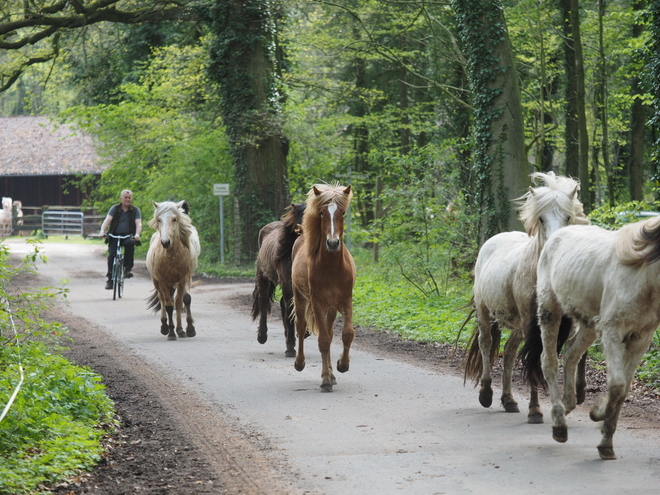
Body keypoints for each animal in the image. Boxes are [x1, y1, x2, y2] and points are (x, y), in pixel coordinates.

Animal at [147, 201, 201, 340]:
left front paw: (190, 329)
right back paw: (165, 327)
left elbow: (186, 299)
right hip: (156, 282)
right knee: (163, 300)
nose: (165, 242)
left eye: (174, 219)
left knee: (177, 301)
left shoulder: (185, 278)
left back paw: (180, 330)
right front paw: (171, 332)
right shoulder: (163, 282)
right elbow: (169, 306)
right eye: (159, 219)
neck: (171, 256)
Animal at [251, 203, 306, 358]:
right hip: (263, 278)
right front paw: (291, 348)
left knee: (282, 304)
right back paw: (262, 336)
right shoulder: (287, 284)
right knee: (264, 303)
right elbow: (290, 312)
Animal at [292, 182, 356, 392]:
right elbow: (324, 341)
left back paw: (332, 372)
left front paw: (342, 365)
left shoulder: (345, 301)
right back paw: (300, 363)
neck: (332, 268)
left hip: (331, 308)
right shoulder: (317, 303)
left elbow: (347, 334)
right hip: (300, 297)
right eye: (321, 213)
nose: (333, 243)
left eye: (342, 212)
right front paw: (326, 379)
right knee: (301, 326)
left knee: (329, 330)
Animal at [462, 173, 592, 422]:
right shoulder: (534, 322)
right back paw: (486, 393)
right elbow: (536, 357)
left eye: (568, 216)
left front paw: (578, 393)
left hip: (519, 325)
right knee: (486, 343)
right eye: (541, 218)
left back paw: (509, 400)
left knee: (510, 351)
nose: (554, 246)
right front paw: (535, 410)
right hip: (486, 311)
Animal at [524, 217, 660, 462]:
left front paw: (606, 443)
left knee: (570, 354)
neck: (644, 275)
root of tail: (556, 236)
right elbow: (617, 385)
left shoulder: (640, 339)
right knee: (549, 362)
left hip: (588, 325)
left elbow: (624, 389)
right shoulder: (613, 332)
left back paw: (568, 404)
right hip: (550, 311)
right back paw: (559, 424)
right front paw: (597, 414)